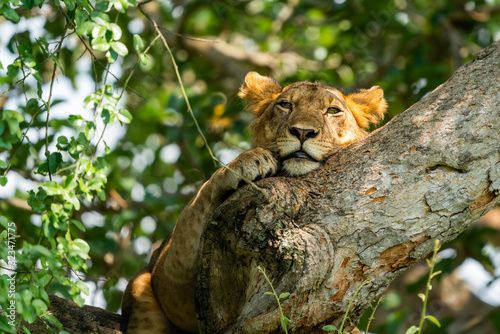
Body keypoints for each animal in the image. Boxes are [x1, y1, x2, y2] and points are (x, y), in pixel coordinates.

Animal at [121, 72, 386, 332]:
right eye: (286, 105)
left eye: (332, 111)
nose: (302, 132)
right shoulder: (172, 267)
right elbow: (204, 192)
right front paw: (249, 161)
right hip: (141, 288)